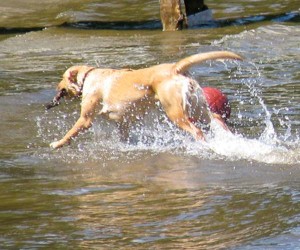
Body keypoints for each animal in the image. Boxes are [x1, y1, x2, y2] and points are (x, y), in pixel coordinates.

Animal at [46, 50, 241, 148]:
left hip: (175, 112)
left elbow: (70, 132)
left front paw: (58, 143)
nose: (55, 88)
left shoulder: (85, 119)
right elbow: (124, 136)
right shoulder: (123, 122)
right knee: (216, 118)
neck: (88, 76)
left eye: (62, 78)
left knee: (197, 131)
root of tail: (174, 68)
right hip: (197, 107)